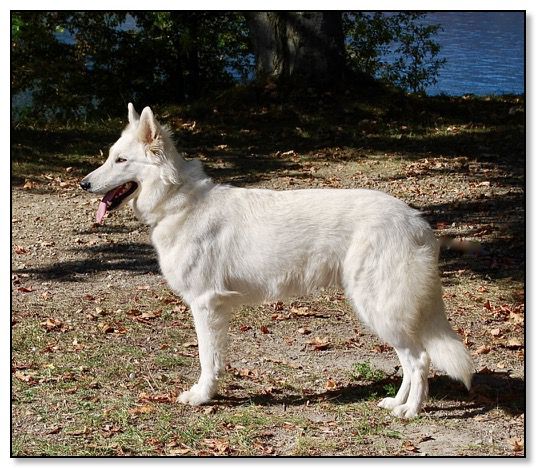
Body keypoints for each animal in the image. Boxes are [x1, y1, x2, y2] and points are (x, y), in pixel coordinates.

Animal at [80, 104, 474, 418]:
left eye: (120, 160)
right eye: (109, 156)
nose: (83, 184)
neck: (179, 201)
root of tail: (417, 221)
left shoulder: (205, 306)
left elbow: (208, 358)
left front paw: (202, 396)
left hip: (380, 307)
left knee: (419, 360)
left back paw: (411, 411)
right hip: (380, 310)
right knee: (410, 361)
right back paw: (396, 402)